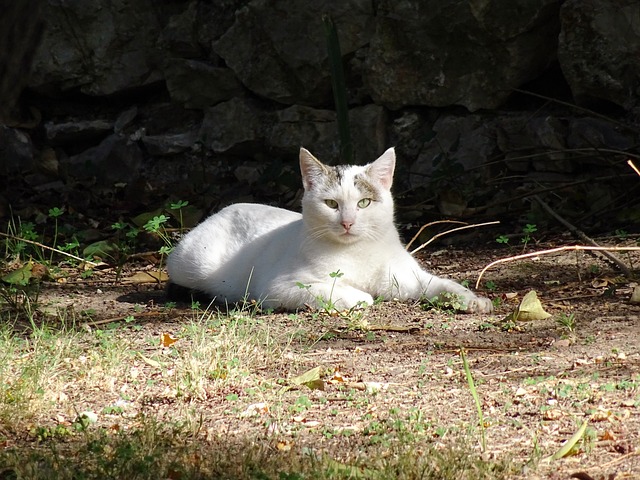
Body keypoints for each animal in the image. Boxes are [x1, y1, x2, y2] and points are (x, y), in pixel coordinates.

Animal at [164, 148, 490, 314]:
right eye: (332, 203)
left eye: (364, 202)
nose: (347, 222)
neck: (357, 252)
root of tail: (222, 210)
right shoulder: (278, 287)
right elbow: (332, 290)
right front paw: (359, 296)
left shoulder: (406, 277)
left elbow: (442, 285)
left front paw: (472, 300)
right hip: (194, 265)